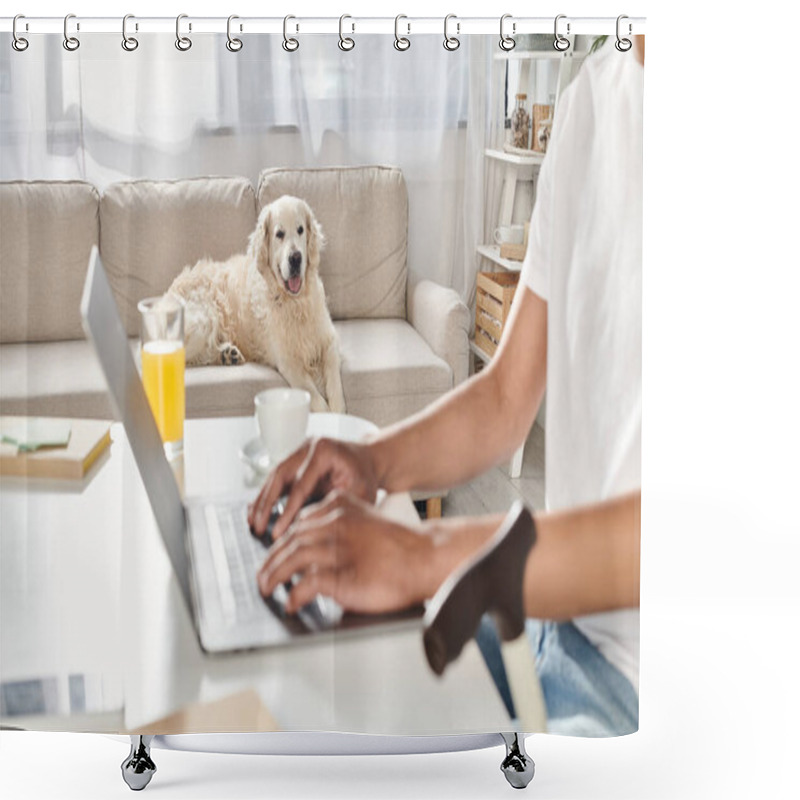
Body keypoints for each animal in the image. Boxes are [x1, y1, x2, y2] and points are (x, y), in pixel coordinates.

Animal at [167, 197, 346, 416]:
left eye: (301, 230)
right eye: (279, 234)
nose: (296, 258)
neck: (294, 302)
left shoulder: (329, 340)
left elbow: (335, 385)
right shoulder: (287, 362)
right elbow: (316, 398)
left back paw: (228, 355)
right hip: (204, 320)